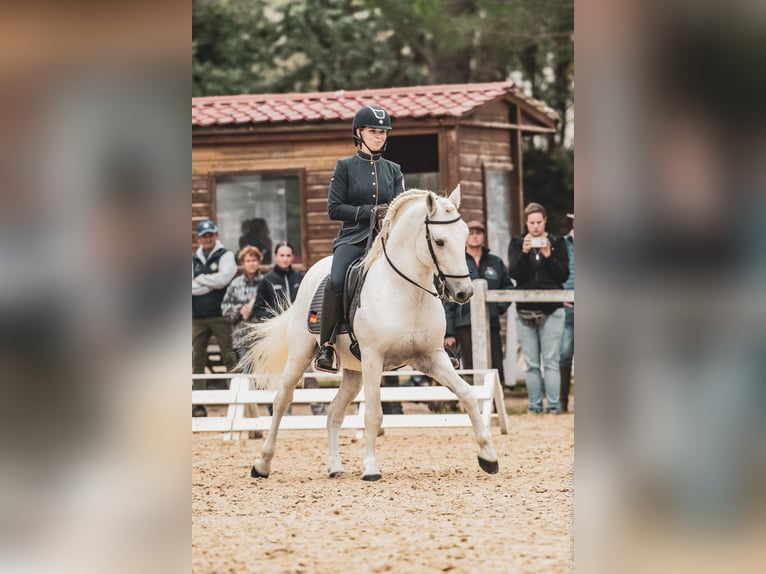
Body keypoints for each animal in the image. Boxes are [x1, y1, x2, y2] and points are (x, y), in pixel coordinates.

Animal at [241, 186, 499, 481]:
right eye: (440, 241)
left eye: (466, 235)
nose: (464, 293)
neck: (408, 292)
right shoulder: (374, 359)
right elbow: (374, 414)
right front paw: (371, 468)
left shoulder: (431, 358)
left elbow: (468, 394)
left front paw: (488, 457)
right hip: (301, 355)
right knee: (283, 399)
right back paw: (262, 464)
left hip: (354, 371)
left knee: (334, 411)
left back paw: (334, 466)